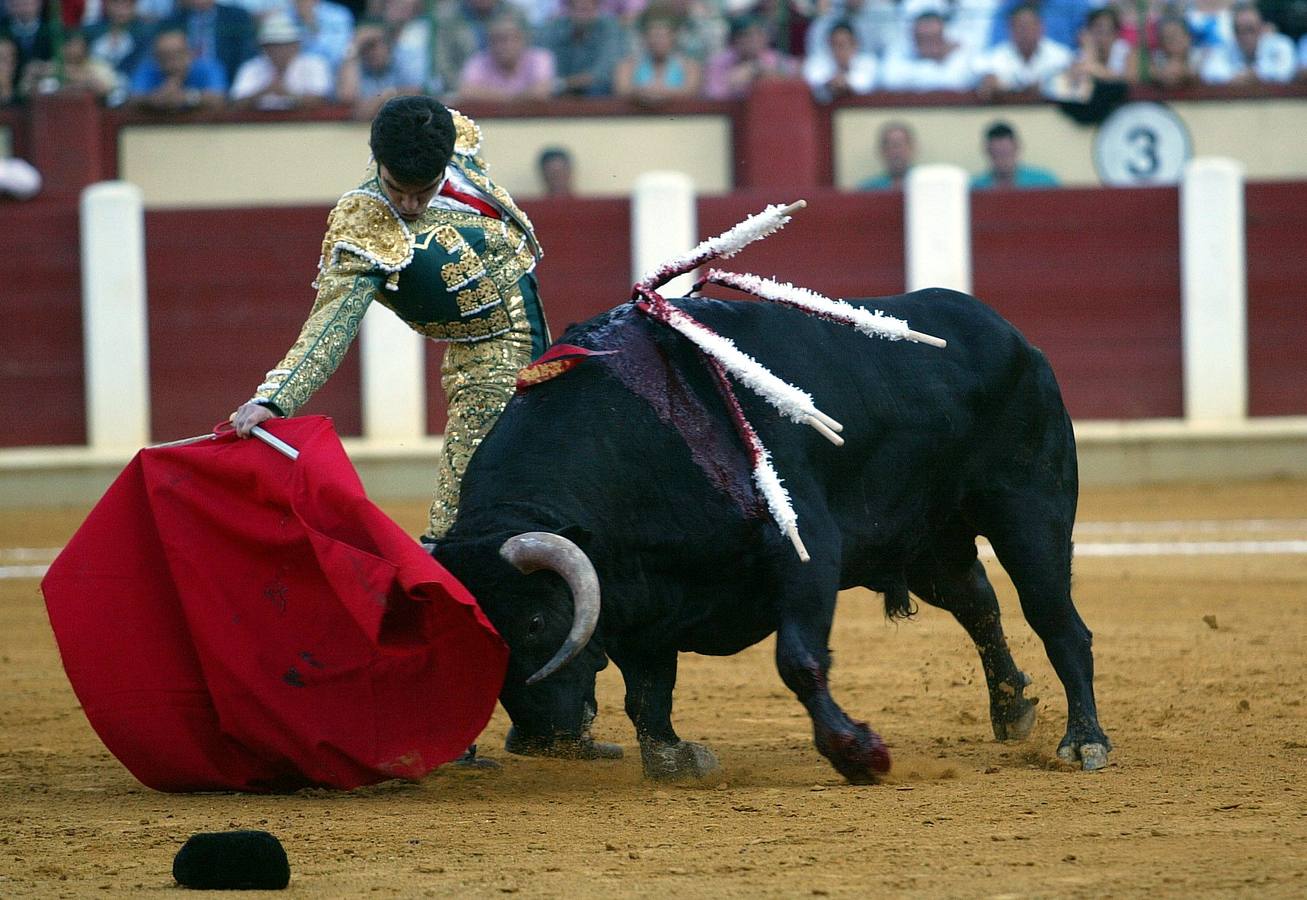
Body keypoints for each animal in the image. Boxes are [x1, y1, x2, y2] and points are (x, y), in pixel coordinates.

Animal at [433, 287, 1108, 778]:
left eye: (535, 622)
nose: (539, 738)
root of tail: (1009, 334)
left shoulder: (807, 555)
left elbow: (798, 660)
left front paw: (857, 753)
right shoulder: (635, 595)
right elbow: (647, 689)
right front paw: (675, 757)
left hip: (1030, 512)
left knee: (1056, 621)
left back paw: (1084, 743)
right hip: (929, 543)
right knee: (978, 603)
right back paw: (1011, 707)